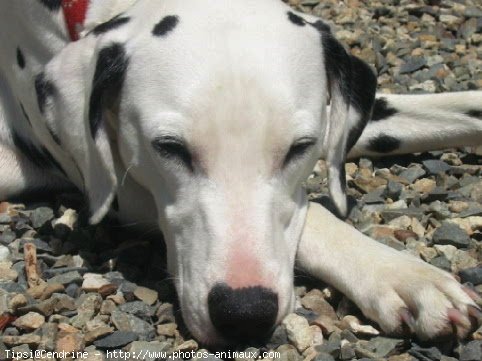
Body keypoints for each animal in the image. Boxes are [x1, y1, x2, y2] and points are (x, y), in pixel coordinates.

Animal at [0, 0, 482, 344]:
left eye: (300, 148)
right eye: (168, 148)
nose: (244, 314)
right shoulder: (122, 191)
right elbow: (317, 216)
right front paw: (402, 275)